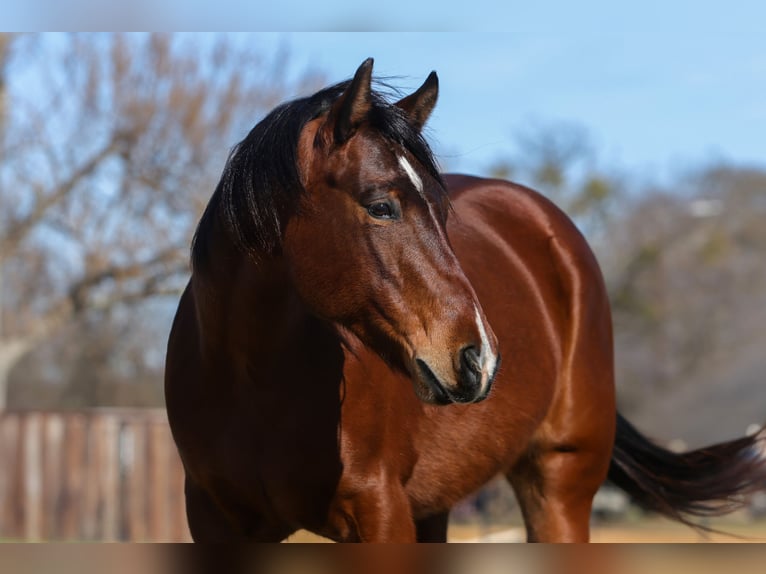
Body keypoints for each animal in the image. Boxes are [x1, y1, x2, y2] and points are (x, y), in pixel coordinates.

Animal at [165, 58, 766, 542]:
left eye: (443, 212)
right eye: (380, 205)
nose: (479, 358)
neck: (254, 383)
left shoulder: (380, 516)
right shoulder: (217, 527)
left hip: (558, 488)